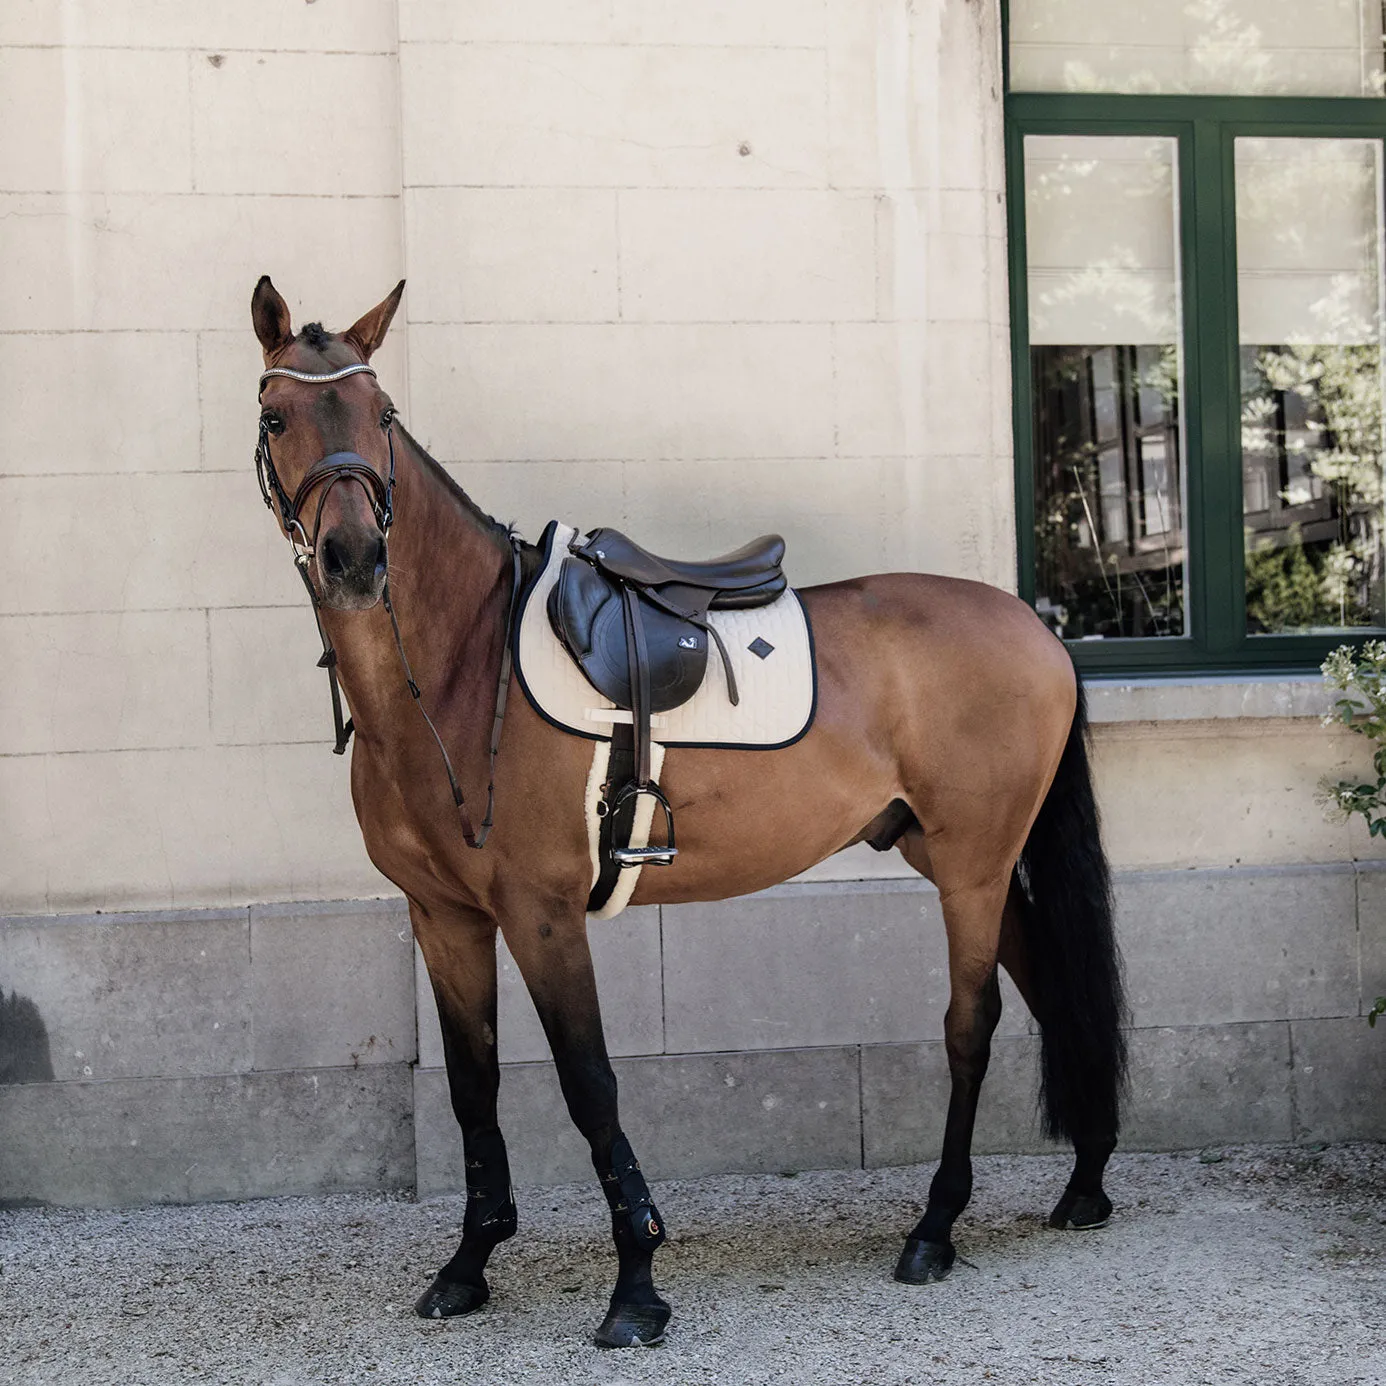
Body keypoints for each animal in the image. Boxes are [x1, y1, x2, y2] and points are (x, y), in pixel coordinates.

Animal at [249, 275, 1125, 1347]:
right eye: (278, 417)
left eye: (382, 415)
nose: (355, 558)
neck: (455, 675)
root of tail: (1038, 627)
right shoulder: (444, 918)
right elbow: (471, 1084)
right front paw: (467, 1264)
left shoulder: (542, 916)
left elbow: (588, 1083)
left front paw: (637, 1284)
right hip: (957, 855)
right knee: (1047, 978)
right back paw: (1085, 1180)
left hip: (972, 864)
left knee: (974, 1021)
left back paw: (935, 1229)